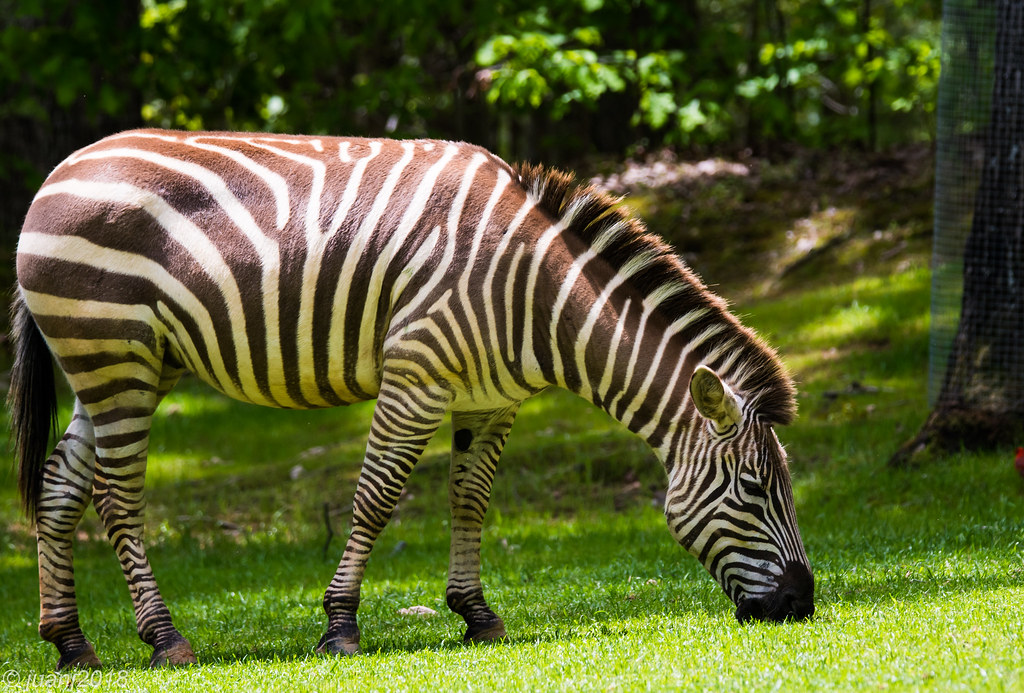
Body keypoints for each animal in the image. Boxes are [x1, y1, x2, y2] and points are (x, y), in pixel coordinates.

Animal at [8, 129, 814, 670]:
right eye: (753, 489)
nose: (801, 604)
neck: (537, 296)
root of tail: (57, 172)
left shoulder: (491, 401)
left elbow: (470, 500)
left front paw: (476, 613)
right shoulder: (416, 375)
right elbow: (377, 498)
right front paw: (340, 625)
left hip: (121, 366)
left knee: (59, 487)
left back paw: (71, 643)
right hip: (115, 356)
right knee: (116, 497)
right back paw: (164, 637)